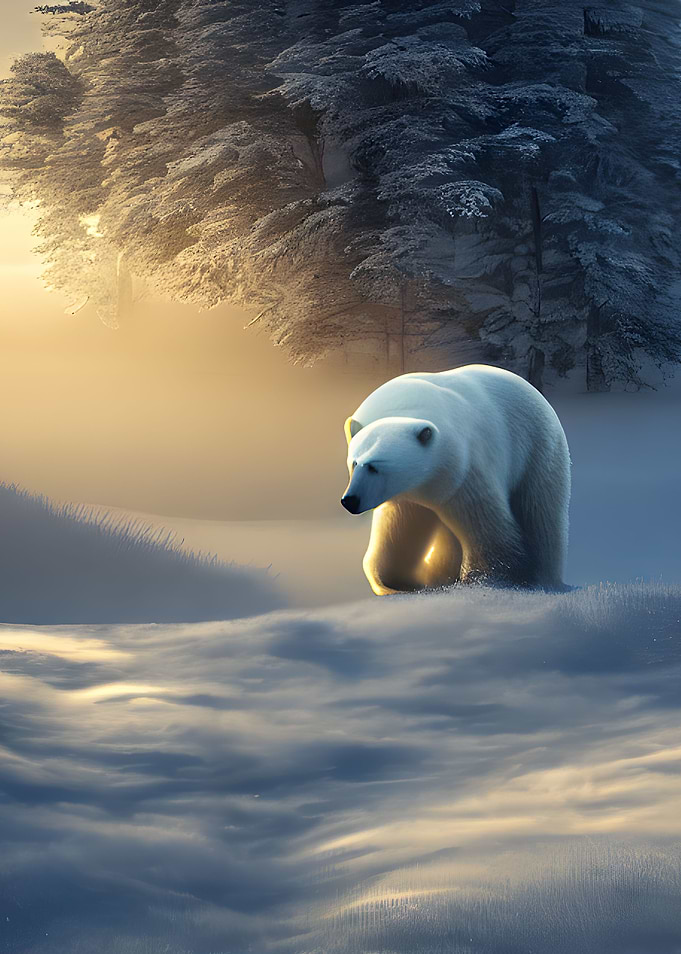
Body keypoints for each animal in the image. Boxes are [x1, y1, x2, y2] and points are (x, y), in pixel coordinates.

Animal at [340, 364, 571, 595]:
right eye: (354, 462)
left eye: (374, 466)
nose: (350, 500)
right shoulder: (409, 493)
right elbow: (400, 530)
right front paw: (395, 582)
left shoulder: (463, 472)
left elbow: (488, 531)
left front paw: (490, 579)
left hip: (538, 451)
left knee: (540, 514)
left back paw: (545, 578)